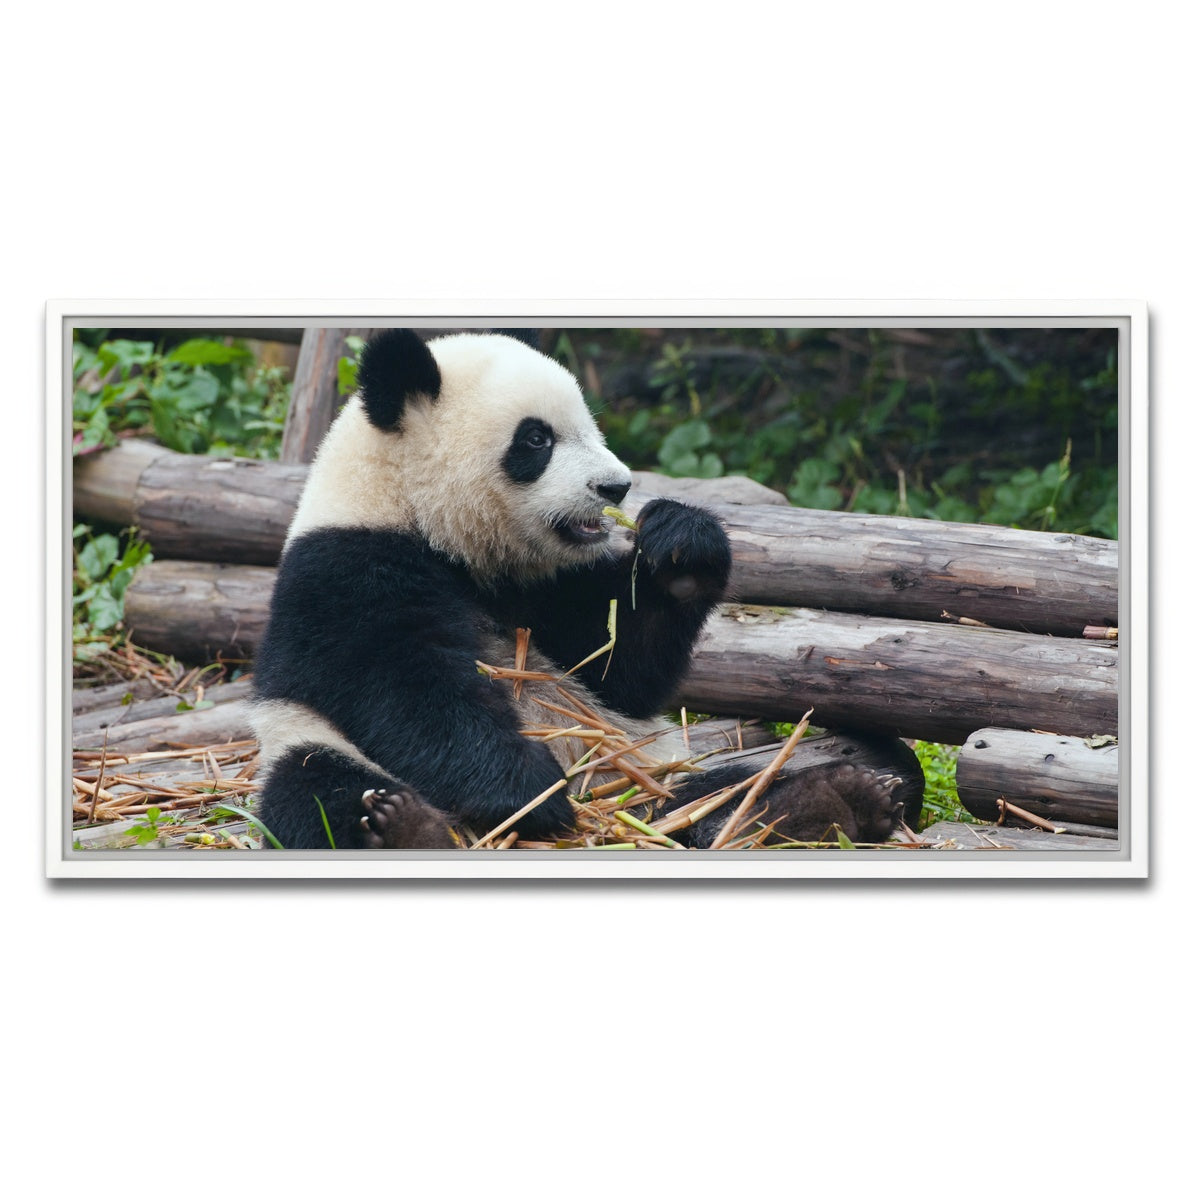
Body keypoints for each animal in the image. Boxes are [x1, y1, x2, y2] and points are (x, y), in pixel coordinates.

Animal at [250, 328, 923, 850]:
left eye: (589, 426)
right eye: (537, 439)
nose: (616, 487)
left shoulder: (544, 587)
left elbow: (616, 668)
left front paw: (682, 547)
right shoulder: (345, 569)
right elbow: (406, 688)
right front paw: (530, 791)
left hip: (642, 771)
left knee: (716, 791)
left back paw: (828, 801)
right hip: (302, 741)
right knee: (318, 790)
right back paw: (403, 826)